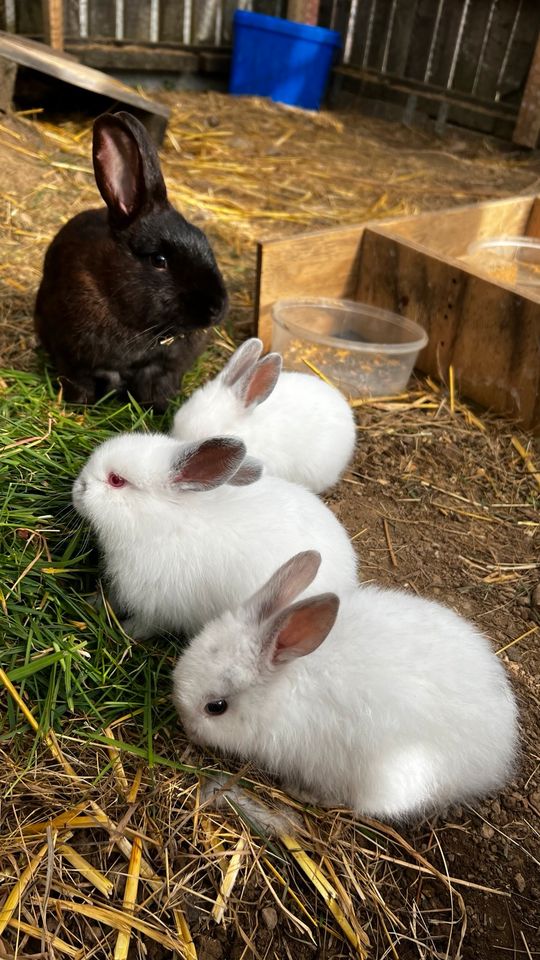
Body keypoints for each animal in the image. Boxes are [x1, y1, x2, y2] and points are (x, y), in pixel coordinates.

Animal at [33, 110, 228, 410]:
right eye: (159, 259)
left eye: (206, 242)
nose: (217, 309)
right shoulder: (73, 361)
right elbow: (79, 384)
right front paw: (79, 407)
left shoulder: (162, 371)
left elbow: (157, 390)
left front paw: (161, 409)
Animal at [71, 436, 358, 636]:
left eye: (116, 480)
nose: (77, 488)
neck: (165, 522)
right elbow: (110, 598)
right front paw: (91, 602)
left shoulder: (159, 607)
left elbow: (145, 626)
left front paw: (125, 633)